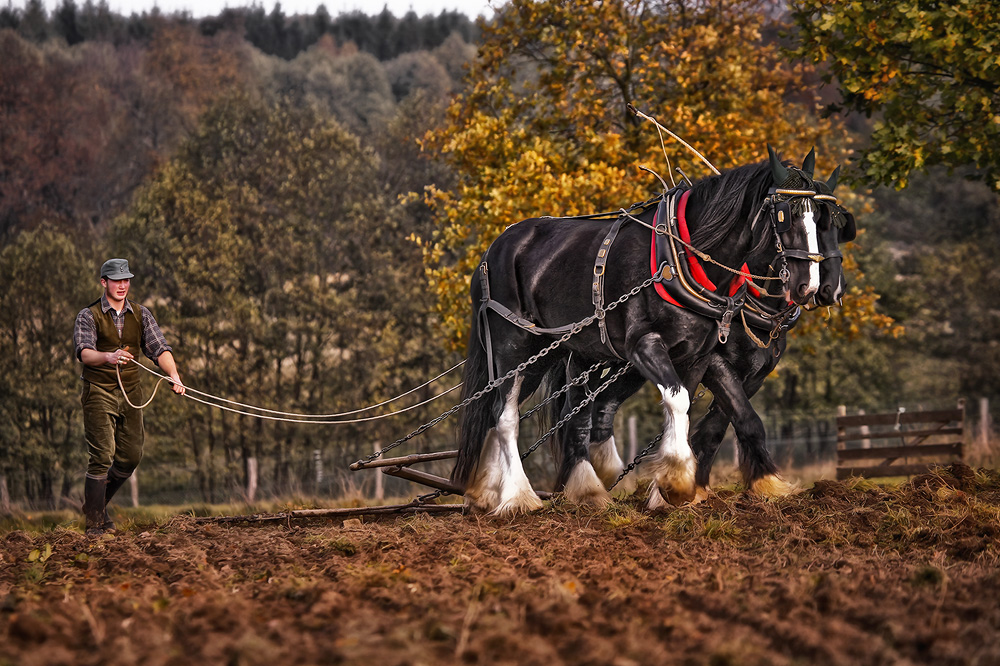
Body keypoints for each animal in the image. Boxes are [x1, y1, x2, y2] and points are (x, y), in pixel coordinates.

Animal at [454, 144, 844, 512]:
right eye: (785, 216)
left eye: (831, 222)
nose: (815, 286)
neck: (682, 256)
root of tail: (494, 248)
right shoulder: (647, 346)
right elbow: (683, 401)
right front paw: (679, 481)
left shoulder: (701, 357)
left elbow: (707, 415)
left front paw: (683, 488)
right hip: (513, 346)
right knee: (506, 415)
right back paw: (518, 496)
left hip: (554, 353)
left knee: (550, 412)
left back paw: (514, 491)